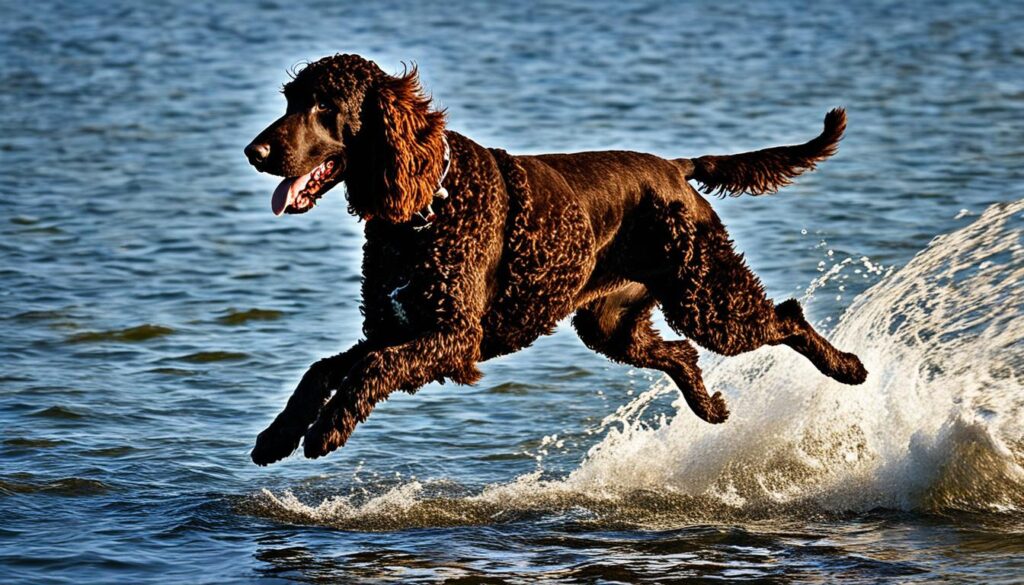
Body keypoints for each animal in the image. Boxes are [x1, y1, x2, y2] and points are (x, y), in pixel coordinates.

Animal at [245, 54, 864, 467]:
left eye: (325, 106)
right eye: (290, 99)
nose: (255, 151)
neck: (428, 207)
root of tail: (673, 167)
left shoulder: (450, 336)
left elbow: (368, 368)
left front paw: (327, 431)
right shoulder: (396, 327)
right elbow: (322, 369)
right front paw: (277, 434)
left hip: (708, 300)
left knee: (786, 316)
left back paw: (848, 368)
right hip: (614, 325)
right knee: (681, 353)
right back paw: (709, 408)